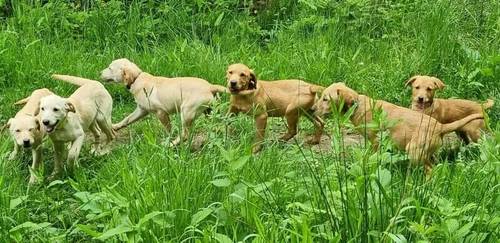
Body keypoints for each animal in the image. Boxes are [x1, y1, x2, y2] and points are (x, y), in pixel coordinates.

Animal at [312, 83, 484, 173]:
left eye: (325, 99)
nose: (312, 109)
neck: (357, 104)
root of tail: (440, 126)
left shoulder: (375, 140)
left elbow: (373, 155)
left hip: (414, 151)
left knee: (430, 169)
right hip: (427, 151)